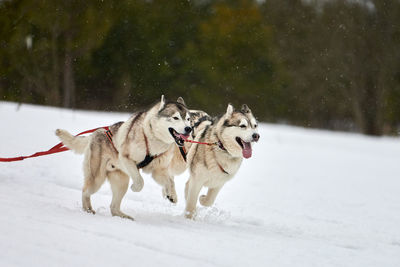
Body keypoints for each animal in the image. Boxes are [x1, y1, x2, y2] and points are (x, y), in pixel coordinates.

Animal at [55, 96, 192, 220]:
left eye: (188, 119)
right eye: (175, 117)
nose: (189, 129)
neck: (154, 139)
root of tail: (96, 132)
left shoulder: (158, 171)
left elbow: (170, 182)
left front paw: (172, 195)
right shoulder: (126, 158)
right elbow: (140, 181)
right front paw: (135, 188)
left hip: (121, 182)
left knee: (113, 207)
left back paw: (124, 216)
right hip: (97, 179)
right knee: (85, 191)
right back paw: (88, 210)